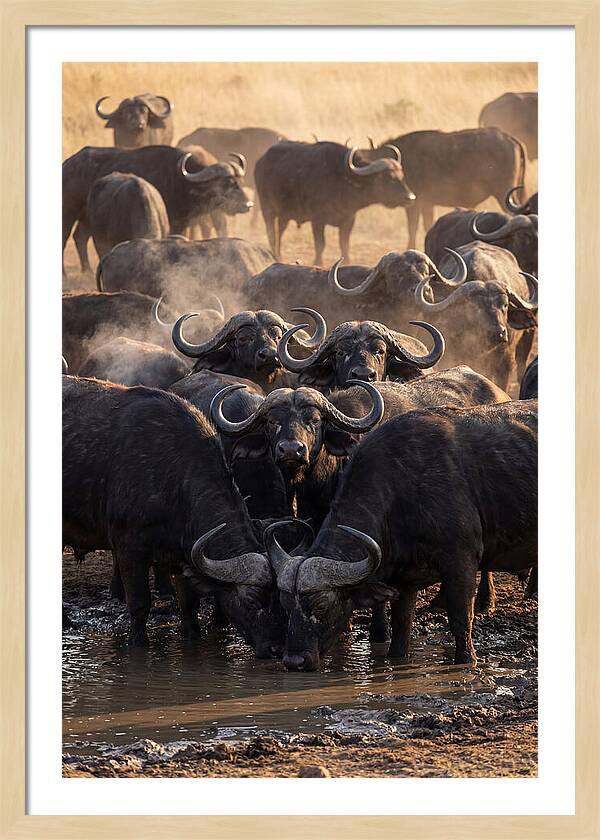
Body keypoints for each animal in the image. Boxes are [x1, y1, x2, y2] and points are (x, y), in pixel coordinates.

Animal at [255, 141, 416, 265]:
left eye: (401, 176)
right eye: (388, 178)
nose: (410, 197)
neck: (343, 180)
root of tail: (260, 162)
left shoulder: (349, 219)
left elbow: (344, 243)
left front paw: (347, 261)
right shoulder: (317, 220)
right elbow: (320, 244)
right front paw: (318, 262)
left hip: (284, 215)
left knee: (279, 232)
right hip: (267, 209)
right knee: (271, 233)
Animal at [266, 399, 537, 670]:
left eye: (321, 605)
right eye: (285, 604)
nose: (294, 661)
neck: (403, 489)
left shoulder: (461, 560)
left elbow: (461, 620)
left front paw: (467, 660)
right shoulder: (404, 580)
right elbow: (401, 626)